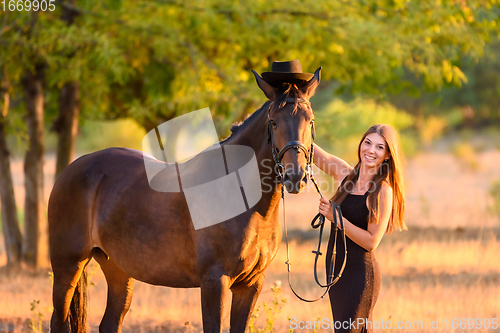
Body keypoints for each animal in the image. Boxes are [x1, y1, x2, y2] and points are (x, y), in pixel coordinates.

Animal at [47, 68, 320, 332]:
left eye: (310, 120)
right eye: (273, 122)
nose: (295, 176)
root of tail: (72, 169)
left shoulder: (251, 284)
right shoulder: (214, 281)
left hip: (118, 269)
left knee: (110, 322)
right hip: (67, 267)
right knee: (58, 321)